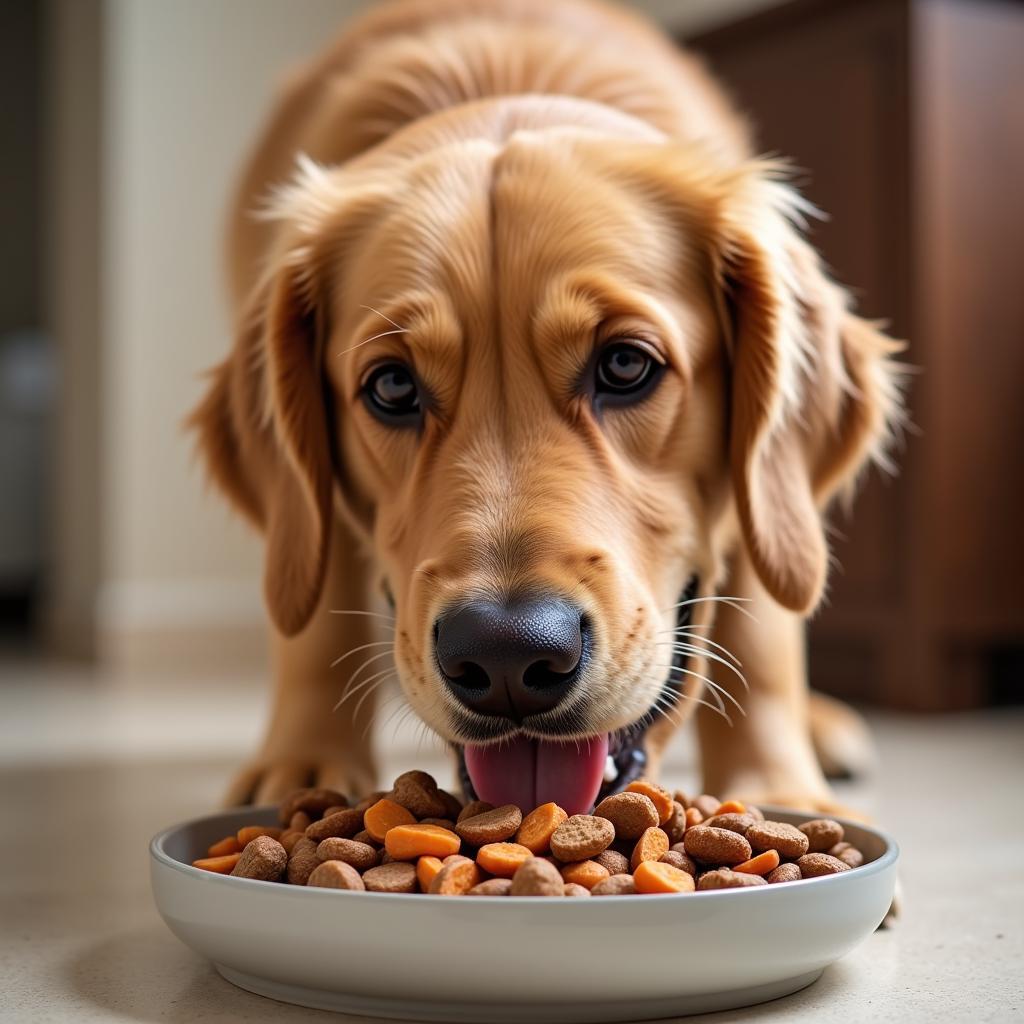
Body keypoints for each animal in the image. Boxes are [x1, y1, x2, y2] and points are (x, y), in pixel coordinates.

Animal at [190, 0, 897, 815]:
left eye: (625, 364)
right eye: (391, 387)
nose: (505, 656)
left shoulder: (766, 501)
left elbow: (765, 626)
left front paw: (778, 791)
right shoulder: (310, 512)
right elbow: (313, 625)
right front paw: (304, 766)